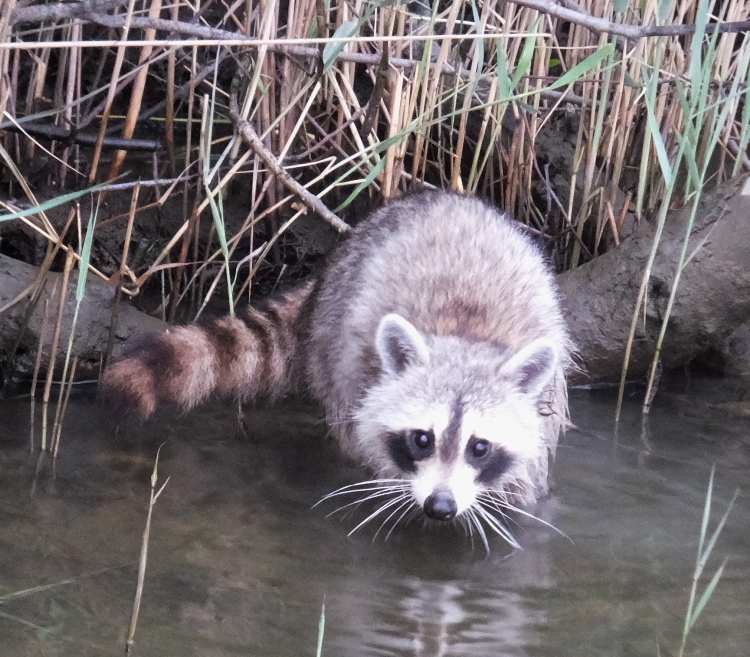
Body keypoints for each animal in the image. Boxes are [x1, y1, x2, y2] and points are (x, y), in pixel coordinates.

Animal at [102, 191, 571, 548]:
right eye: (422, 439)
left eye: (480, 447)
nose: (440, 507)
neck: (464, 334)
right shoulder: (360, 379)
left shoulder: (538, 418)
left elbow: (524, 485)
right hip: (334, 340)